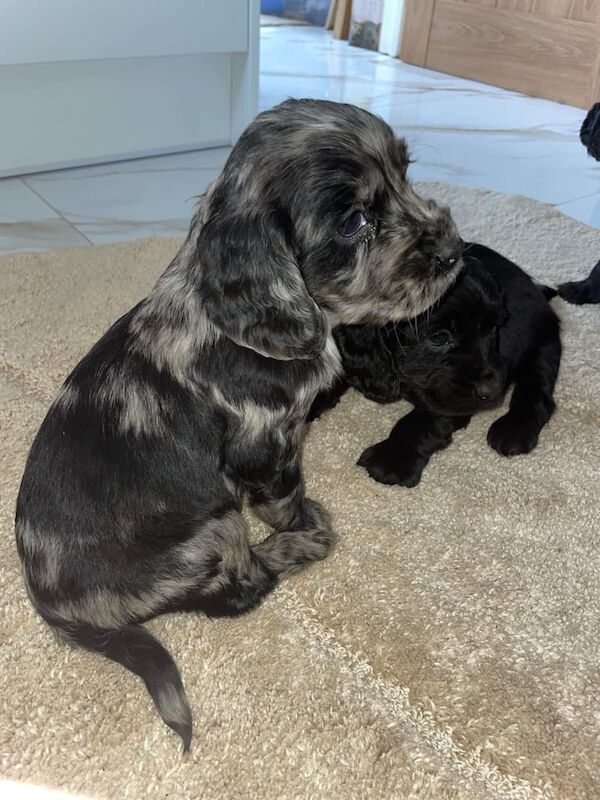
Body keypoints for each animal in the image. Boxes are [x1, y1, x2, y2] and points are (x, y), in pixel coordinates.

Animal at [15, 99, 464, 750]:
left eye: (405, 173)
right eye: (354, 221)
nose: (456, 252)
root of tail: (56, 613)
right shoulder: (263, 445)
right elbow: (285, 497)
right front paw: (305, 522)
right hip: (213, 529)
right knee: (237, 591)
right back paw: (296, 548)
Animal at [310, 243, 561, 487]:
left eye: (495, 328)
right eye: (439, 338)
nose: (492, 391)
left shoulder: (450, 398)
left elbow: (421, 420)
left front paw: (391, 459)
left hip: (541, 346)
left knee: (537, 391)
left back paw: (513, 429)